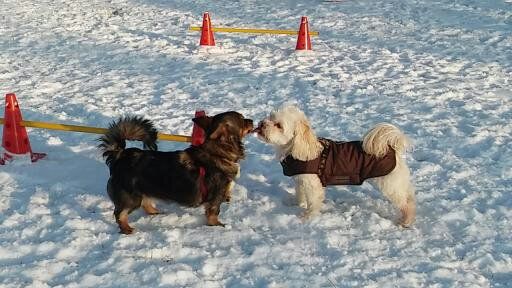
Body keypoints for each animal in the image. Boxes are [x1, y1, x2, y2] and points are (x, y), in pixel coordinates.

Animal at [98, 112, 254, 234]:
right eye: (242, 119)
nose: (252, 121)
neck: (218, 152)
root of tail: (120, 155)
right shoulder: (216, 196)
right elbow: (214, 213)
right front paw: (217, 225)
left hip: (144, 191)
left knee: (145, 203)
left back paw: (155, 212)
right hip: (131, 198)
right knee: (119, 214)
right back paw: (126, 229)